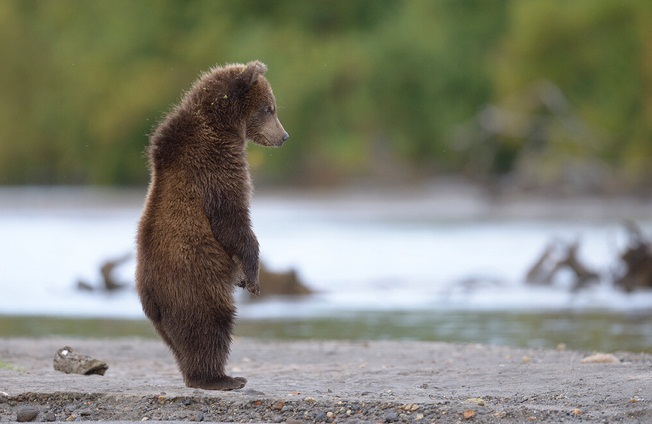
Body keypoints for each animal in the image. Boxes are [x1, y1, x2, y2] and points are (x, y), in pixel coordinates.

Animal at [136, 61, 290, 390]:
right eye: (269, 108)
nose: (284, 136)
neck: (223, 125)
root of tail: (151, 298)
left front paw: (244, 278)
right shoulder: (215, 168)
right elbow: (233, 221)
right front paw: (253, 278)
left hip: (163, 316)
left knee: (180, 341)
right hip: (194, 282)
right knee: (210, 323)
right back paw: (222, 378)